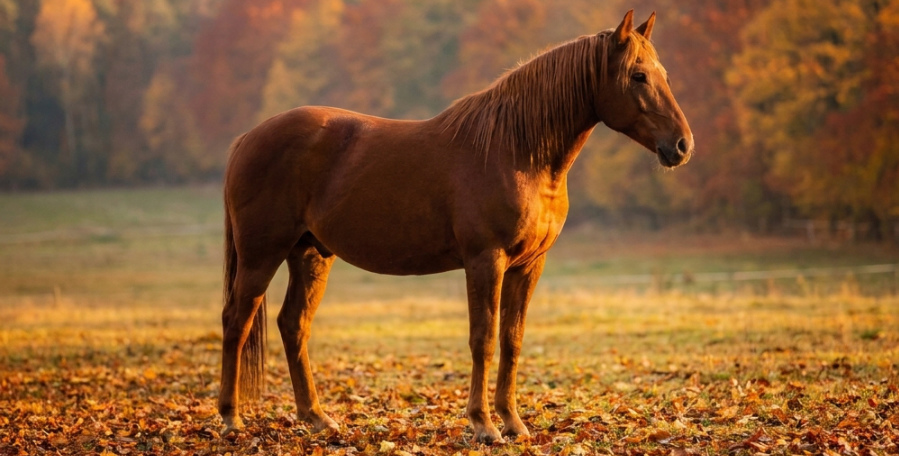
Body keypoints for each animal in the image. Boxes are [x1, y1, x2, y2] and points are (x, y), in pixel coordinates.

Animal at [218, 10, 693, 444]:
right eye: (637, 76)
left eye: (664, 74)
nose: (682, 145)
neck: (514, 150)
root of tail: (247, 138)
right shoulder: (486, 261)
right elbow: (483, 338)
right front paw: (484, 425)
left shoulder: (529, 265)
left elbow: (512, 339)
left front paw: (513, 422)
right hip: (262, 255)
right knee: (236, 320)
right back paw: (231, 418)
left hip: (311, 253)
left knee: (293, 325)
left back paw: (317, 419)